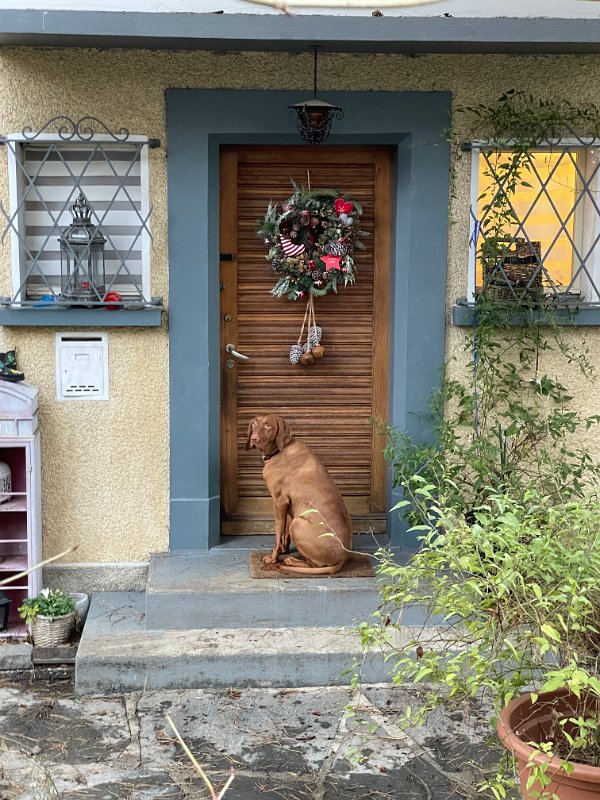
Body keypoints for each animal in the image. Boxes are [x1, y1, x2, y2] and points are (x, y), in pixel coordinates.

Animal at [246, 413, 352, 575]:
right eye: (254, 423)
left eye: (268, 425)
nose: (254, 439)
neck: (279, 450)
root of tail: (343, 558)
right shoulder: (288, 503)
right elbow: (284, 530)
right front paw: (284, 549)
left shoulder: (279, 501)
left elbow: (278, 530)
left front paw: (274, 556)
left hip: (298, 524)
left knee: (314, 565)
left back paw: (291, 561)